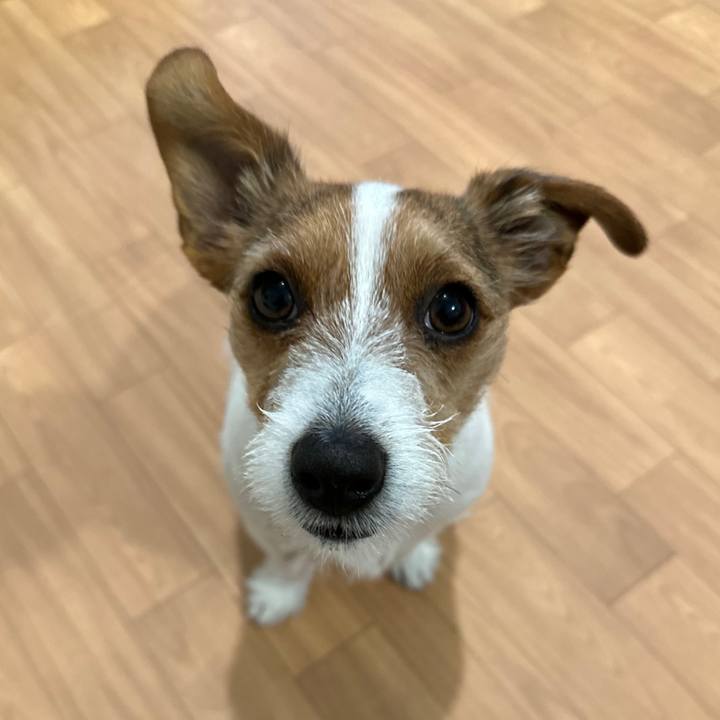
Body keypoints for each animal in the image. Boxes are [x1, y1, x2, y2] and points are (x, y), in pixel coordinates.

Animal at [146, 48, 647, 625]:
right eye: (272, 296)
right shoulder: (261, 518)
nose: (337, 471)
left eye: (452, 309)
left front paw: (414, 558)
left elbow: (416, 535)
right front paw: (279, 592)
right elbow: (288, 555)